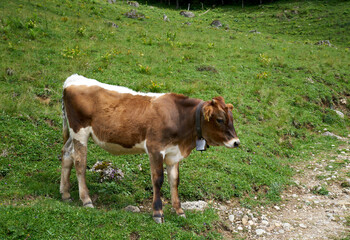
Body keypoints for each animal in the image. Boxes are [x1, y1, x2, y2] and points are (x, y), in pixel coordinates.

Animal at [60, 74, 241, 222]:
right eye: (219, 119)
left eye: (232, 118)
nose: (236, 142)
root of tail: (73, 79)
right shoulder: (155, 148)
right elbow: (158, 179)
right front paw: (158, 213)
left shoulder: (173, 153)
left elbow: (174, 181)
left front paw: (179, 210)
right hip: (79, 131)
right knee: (79, 162)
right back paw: (86, 200)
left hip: (72, 134)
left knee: (67, 154)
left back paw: (65, 193)